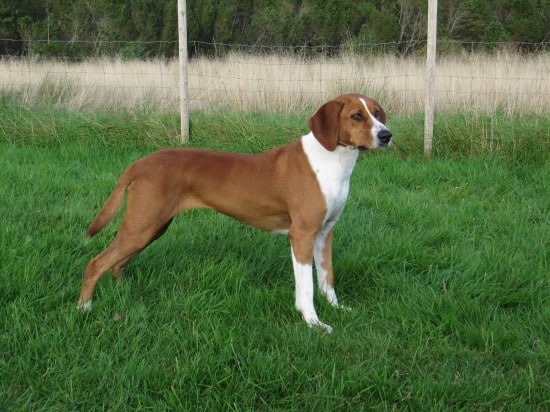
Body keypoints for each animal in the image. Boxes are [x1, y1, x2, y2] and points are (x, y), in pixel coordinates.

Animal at [80, 93, 394, 332]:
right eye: (356, 116)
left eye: (378, 113)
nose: (386, 135)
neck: (331, 161)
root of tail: (139, 163)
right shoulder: (302, 235)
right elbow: (306, 287)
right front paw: (314, 323)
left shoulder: (325, 234)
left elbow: (327, 280)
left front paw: (338, 309)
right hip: (142, 225)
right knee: (97, 263)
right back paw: (84, 307)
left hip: (151, 228)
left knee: (117, 264)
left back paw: (122, 294)